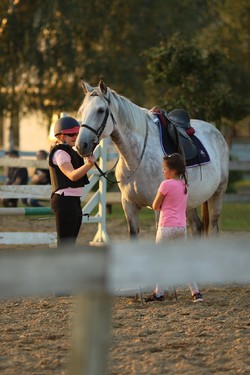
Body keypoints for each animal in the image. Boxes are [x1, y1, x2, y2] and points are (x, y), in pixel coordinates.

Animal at [76, 79, 229, 238]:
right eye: (81, 111)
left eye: (100, 110)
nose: (81, 145)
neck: (136, 159)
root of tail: (215, 130)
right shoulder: (129, 206)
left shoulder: (159, 208)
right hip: (189, 202)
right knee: (196, 227)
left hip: (217, 195)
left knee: (213, 227)